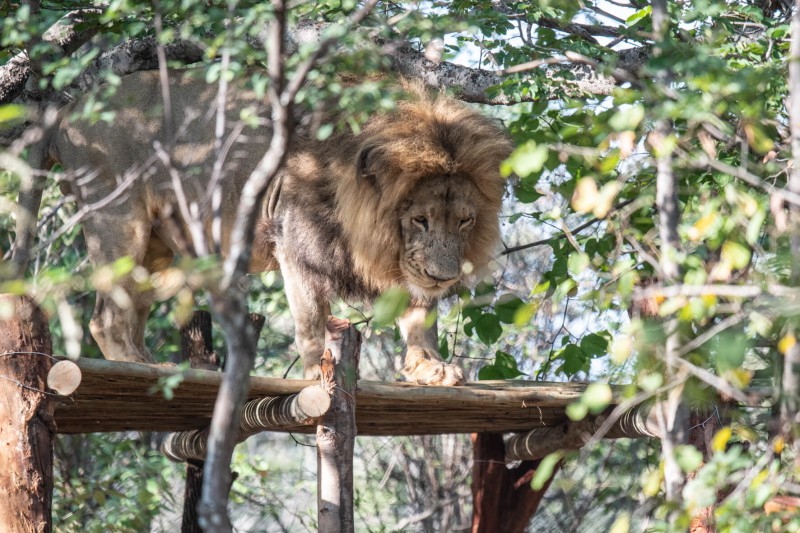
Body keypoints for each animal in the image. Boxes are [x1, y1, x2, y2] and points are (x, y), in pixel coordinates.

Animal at [17, 69, 512, 386]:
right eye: (419, 220)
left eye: (465, 220)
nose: (445, 276)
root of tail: (67, 111)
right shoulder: (297, 246)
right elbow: (311, 318)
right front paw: (315, 372)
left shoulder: (403, 268)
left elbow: (419, 316)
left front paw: (431, 368)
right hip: (118, 218)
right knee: (105, 317)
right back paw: (141, 369)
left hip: (156, 245)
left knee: (132, 304)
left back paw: (155, 365)